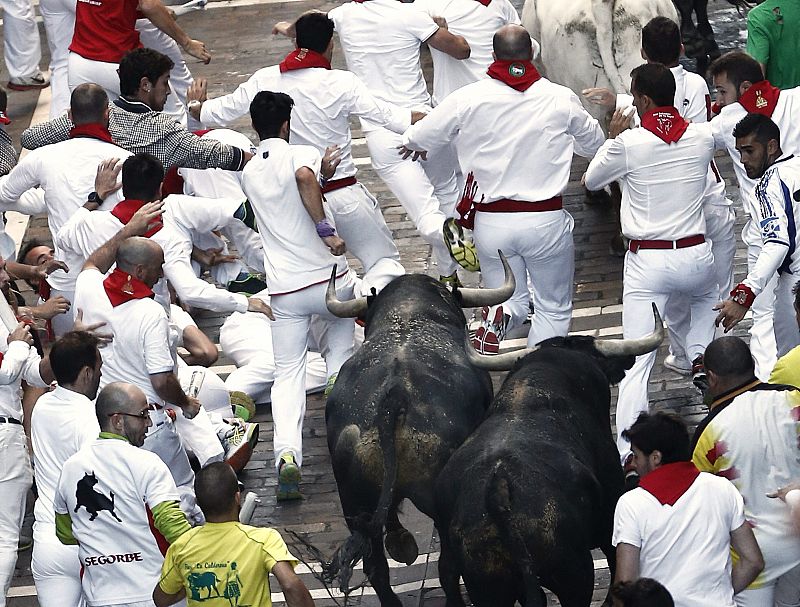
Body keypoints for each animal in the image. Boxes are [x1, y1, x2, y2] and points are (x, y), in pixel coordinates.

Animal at [322, 256, 516, 607]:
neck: (409, 318)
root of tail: (394, 396)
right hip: (441, 504)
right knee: (448, 566)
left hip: (355, 506)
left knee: (376, 564)